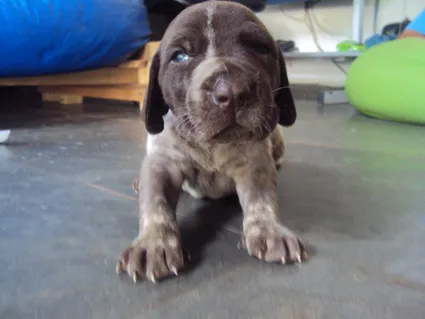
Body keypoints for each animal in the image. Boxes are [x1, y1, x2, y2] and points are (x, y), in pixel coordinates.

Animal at [117, 0, 306, 284]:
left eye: (260, 49)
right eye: (180, 56)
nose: (232, 92)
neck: (211, 146)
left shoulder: (255, 165)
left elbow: (262, 200)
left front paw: (269, 229)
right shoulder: (162, 164)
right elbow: (156, 205)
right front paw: (154, 243)